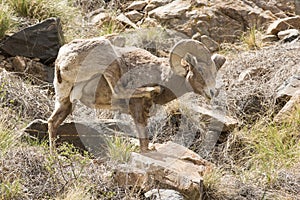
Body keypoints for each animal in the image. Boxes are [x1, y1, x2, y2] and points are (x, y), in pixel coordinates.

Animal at [47, 37, 225, 152]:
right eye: (200, 70)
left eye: (215, 72)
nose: (212, 92)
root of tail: (62, 59)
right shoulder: (137, 110)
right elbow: (143, 142)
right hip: (107, 55)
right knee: (118, 90)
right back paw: (153, 90)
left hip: (65, 101)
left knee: (53, 122)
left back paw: (55, 157)